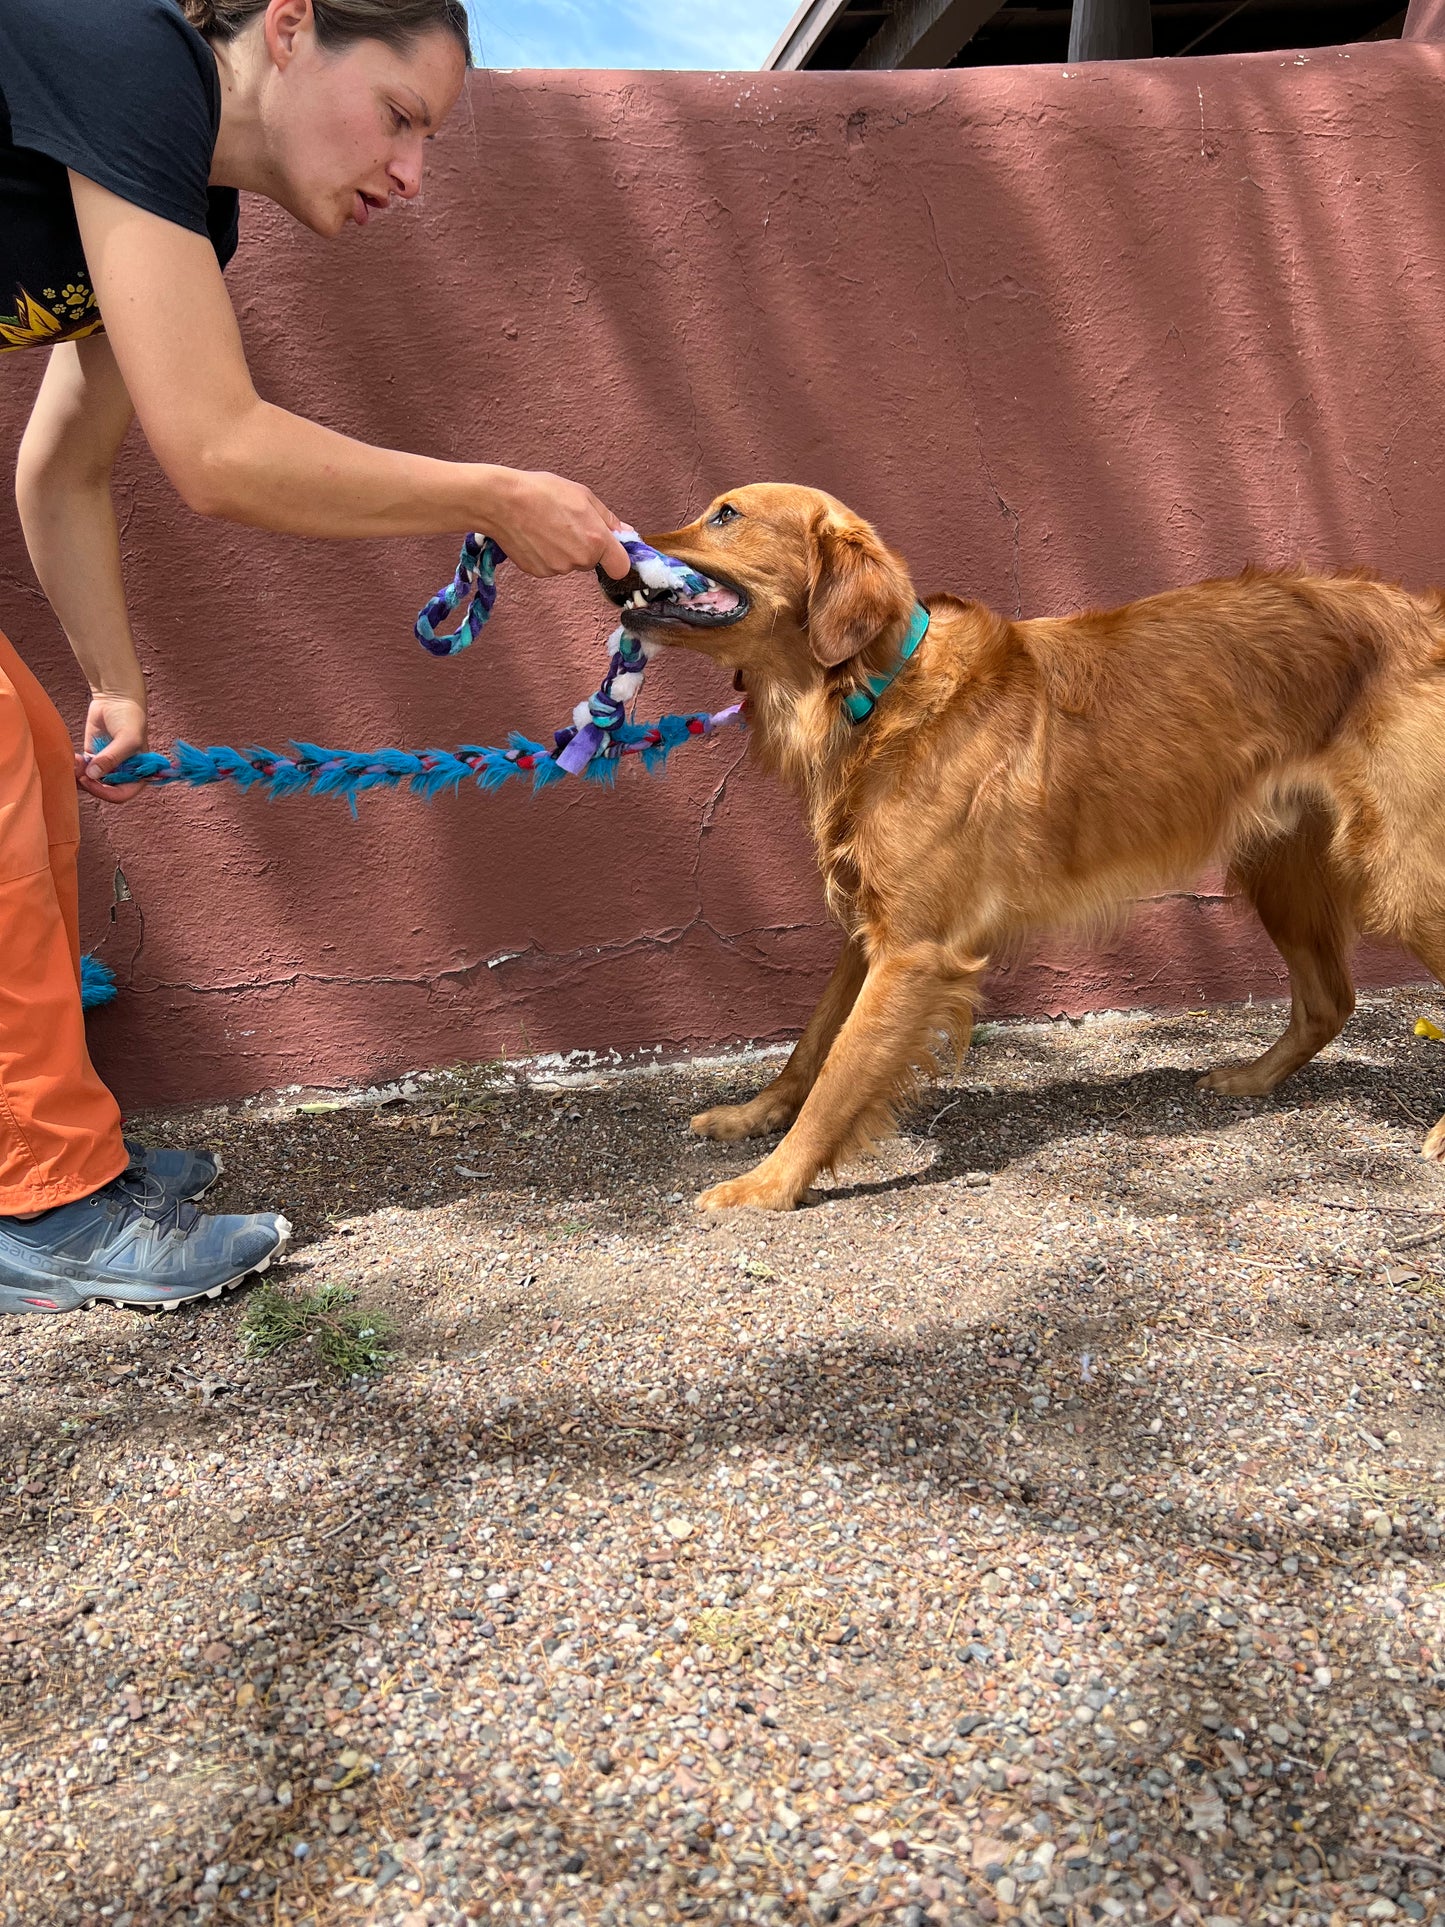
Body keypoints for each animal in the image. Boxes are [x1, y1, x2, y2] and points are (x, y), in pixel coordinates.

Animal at [601, 481, 1445, 1210]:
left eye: (725, 515)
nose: (613, 554)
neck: (874, 690)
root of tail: (1423, 617)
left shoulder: (912, 950)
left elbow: (840, 1070)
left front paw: (770, 1183)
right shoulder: (873, 927)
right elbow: (809, 1044)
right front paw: (752, 1116)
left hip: (1399, 878)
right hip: (1280, 871)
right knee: (1328, 1001)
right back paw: (1253, 1078)